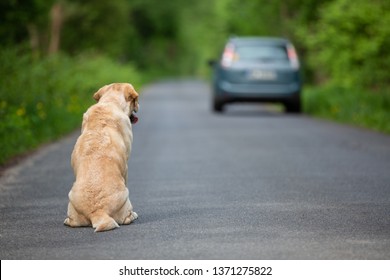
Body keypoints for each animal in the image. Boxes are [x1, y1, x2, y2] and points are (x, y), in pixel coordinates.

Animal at [65, 82, 140, 232]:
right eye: (135, 100)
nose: (138, 106)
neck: (110, 102)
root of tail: (98, 212)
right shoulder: (126, 167)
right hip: (125, 195)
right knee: (126, 217)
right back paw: (133, 215)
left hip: (71, 200)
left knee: (72, 221)